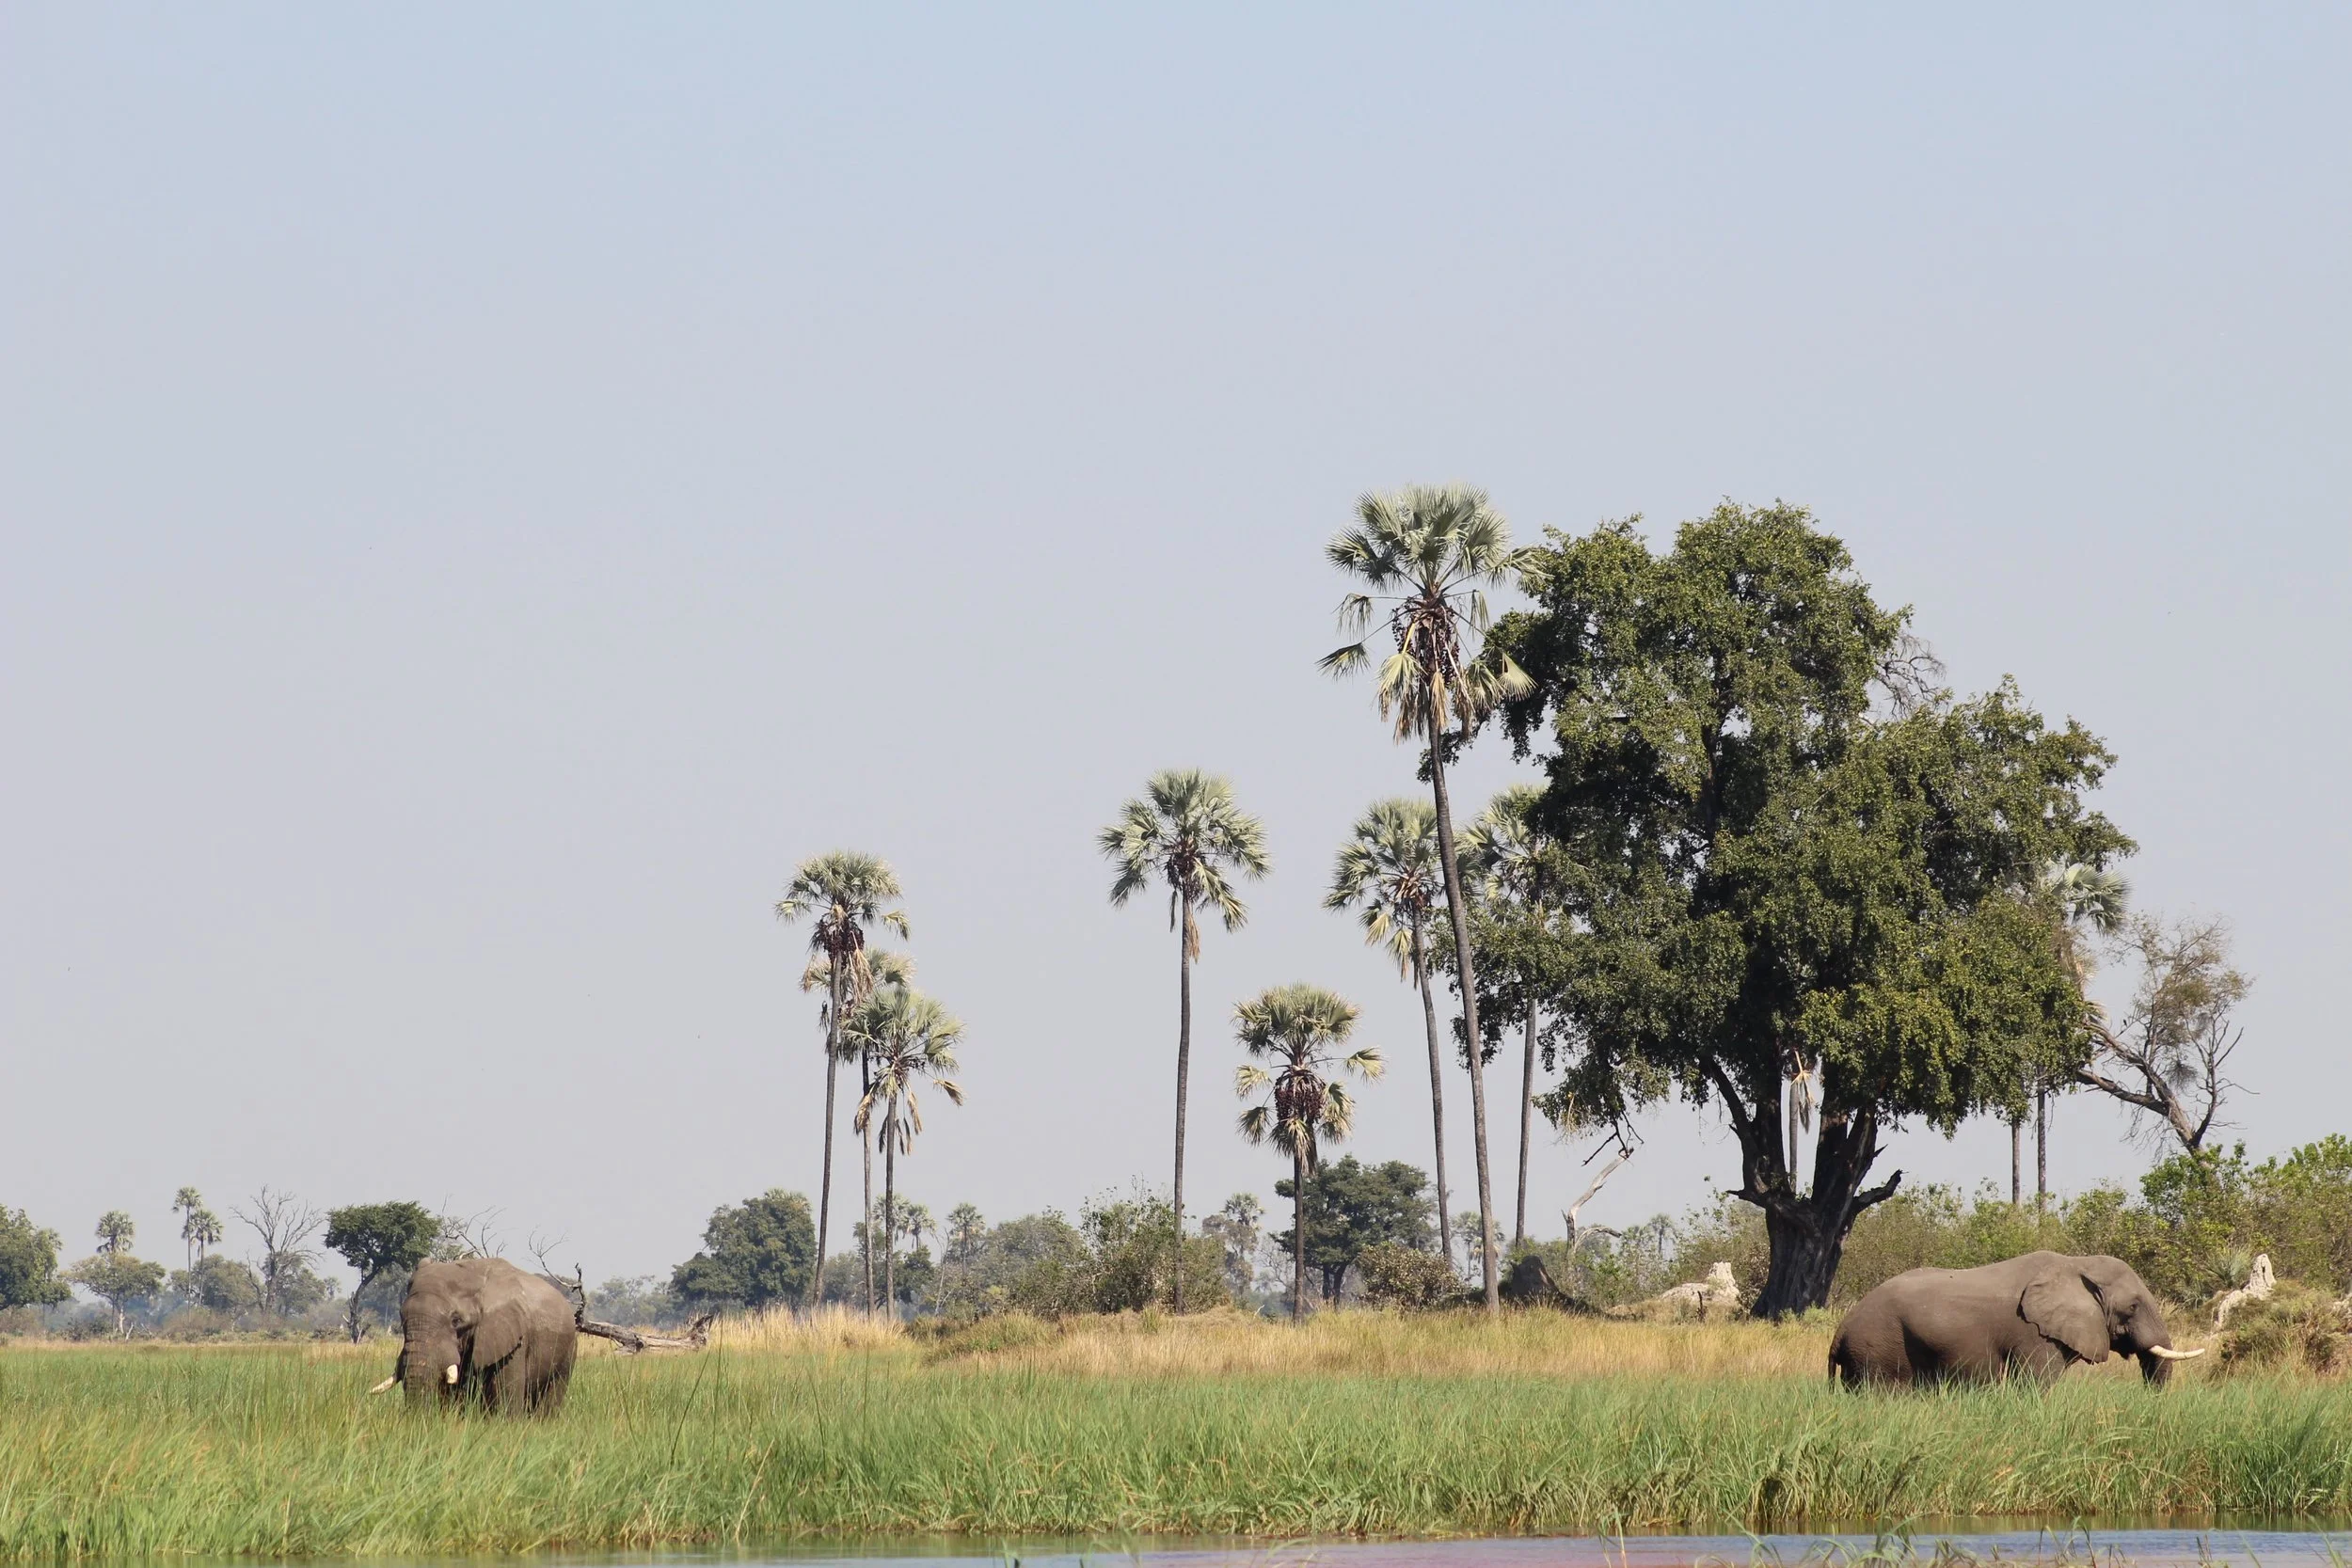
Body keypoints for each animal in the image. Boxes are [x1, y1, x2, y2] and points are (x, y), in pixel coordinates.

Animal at [1829, 1250, 2204, 1388]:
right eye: (2134, 1307)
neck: (2076, 1263)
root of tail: (1840, 1330)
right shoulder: (2034, 1334)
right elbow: (2036, 1385)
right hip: (1877, 1352)